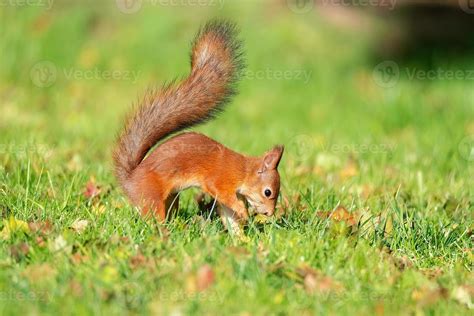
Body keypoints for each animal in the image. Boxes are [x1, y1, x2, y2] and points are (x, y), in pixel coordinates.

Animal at [113, 20, 284, 235]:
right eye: (267, 192)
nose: (269, 213)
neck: (243, 171)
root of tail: (129, 181)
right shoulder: (220, 181)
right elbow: (225, 197)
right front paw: (243, 214)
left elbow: (229, 215)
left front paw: (241, 237)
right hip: (152, 198)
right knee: (153, 219)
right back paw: (165, 233)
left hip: (171, 199)